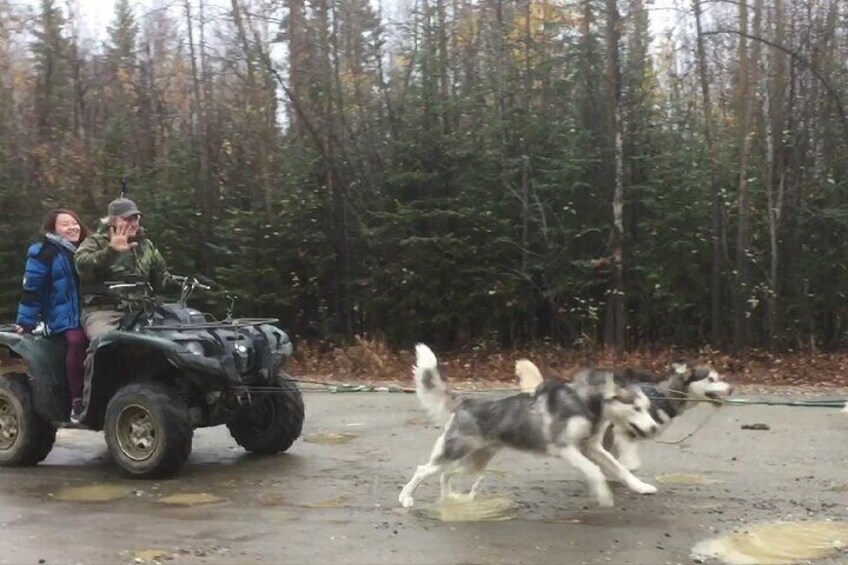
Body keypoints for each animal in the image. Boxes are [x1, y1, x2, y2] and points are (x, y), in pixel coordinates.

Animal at [400, 342, 664, 508]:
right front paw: (604, 495)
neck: (584, 402)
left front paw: (641, 487)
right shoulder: (564, 448)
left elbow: (620, 469)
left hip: (474, 462)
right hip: (455, 452)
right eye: (636, 408)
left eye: (646, 406)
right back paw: (406, 498)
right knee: (423, 470)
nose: (654, 428)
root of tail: (466, 400)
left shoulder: (592, 448)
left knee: (445, 474)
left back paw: (449, 498)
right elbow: (595, 471)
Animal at [516, 356, 736, 472]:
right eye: (710, 379)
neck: (662, 395)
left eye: (719, 377)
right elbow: (629, 461)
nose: (732, 388)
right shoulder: (622, 430)